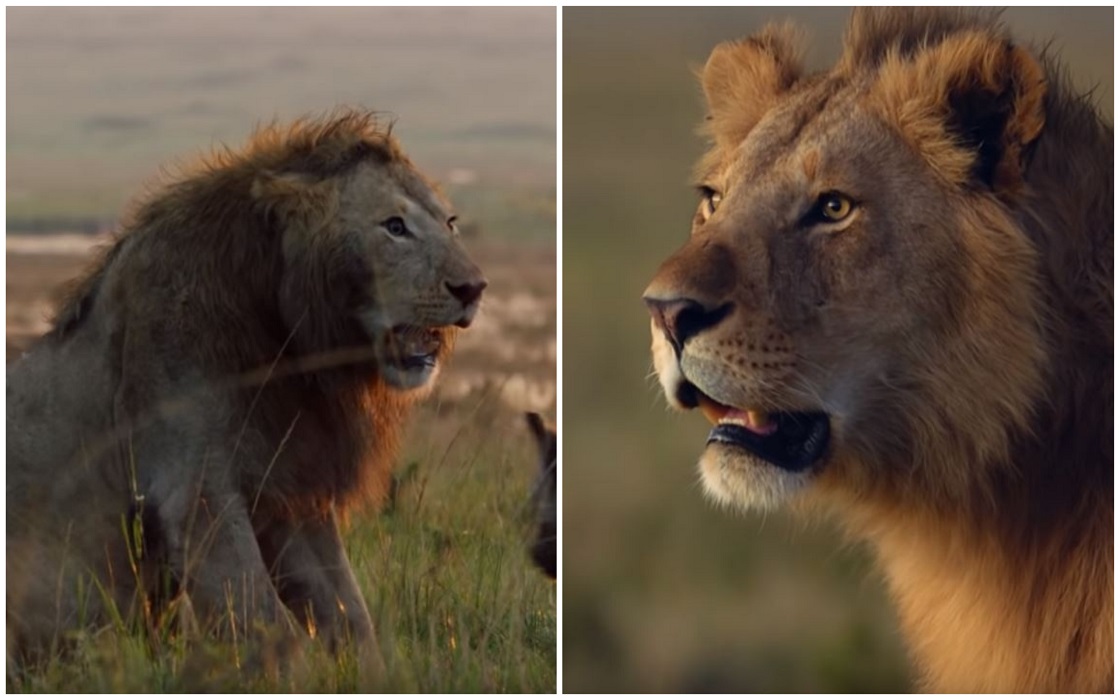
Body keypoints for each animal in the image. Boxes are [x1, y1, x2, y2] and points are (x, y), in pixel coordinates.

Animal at [5, 106, 486, 663]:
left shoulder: (290, 494)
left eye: (450, 223)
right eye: (394, 227)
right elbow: (265, 620)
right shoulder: (194, 490)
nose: (474, 288)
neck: (285, 342)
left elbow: (350, 614)